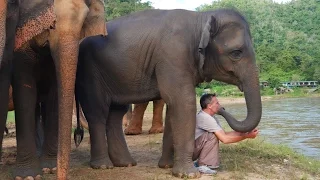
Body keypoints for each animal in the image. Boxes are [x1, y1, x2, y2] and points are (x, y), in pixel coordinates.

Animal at [0, 0, 107, 179]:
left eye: (82, 25)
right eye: (51, 25)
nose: (60, 175)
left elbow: (54, 95)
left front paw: (49, 168)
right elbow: (25, 92)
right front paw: (28, 176)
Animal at [75, 8, 262, 179]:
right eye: (236, 53)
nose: (221, 107)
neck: (202, 18)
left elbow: (174, 106)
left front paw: (167, 166)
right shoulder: (173, 55)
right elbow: (184, 101)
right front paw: (189, 174)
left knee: (115, 113)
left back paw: (125, 163)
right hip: (90, 71)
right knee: (97, 112)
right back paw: (103, 166)